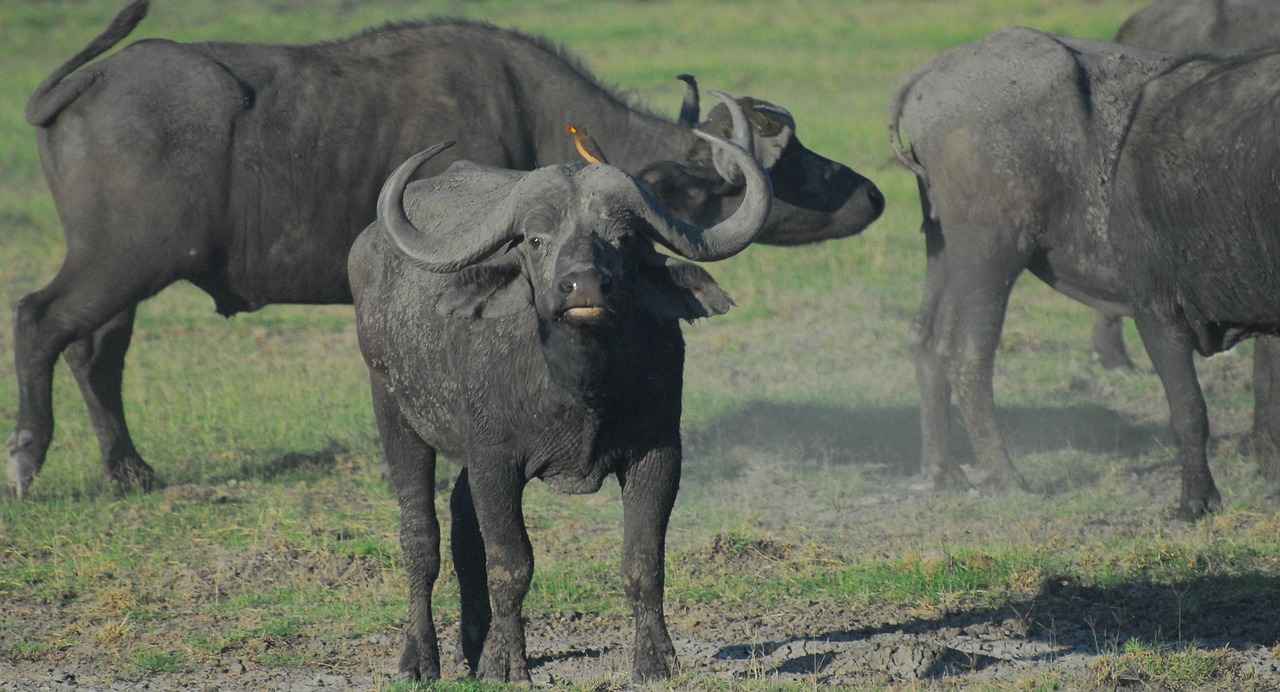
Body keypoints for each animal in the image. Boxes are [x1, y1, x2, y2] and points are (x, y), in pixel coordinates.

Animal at [8, 1, 883, 497]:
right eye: (793, 160)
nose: (871, 192)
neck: (533, 115)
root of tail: (84, 84)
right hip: (121, 260)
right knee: (39, 321)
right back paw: (26, 462)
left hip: (130, 277)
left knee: (96, 352)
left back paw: (129, 469)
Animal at [350, 96, 769, 682]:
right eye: (535, 239)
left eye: (623, 237)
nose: (584, 285)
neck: (579, 387)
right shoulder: (495, 460)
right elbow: (511, 562)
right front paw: (506, 665)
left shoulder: (660, 453)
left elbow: (643, 560)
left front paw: (655, 659)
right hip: (392, 410)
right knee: (420, 537)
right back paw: (419, 658)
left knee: (460, 524)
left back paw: (473, 644)